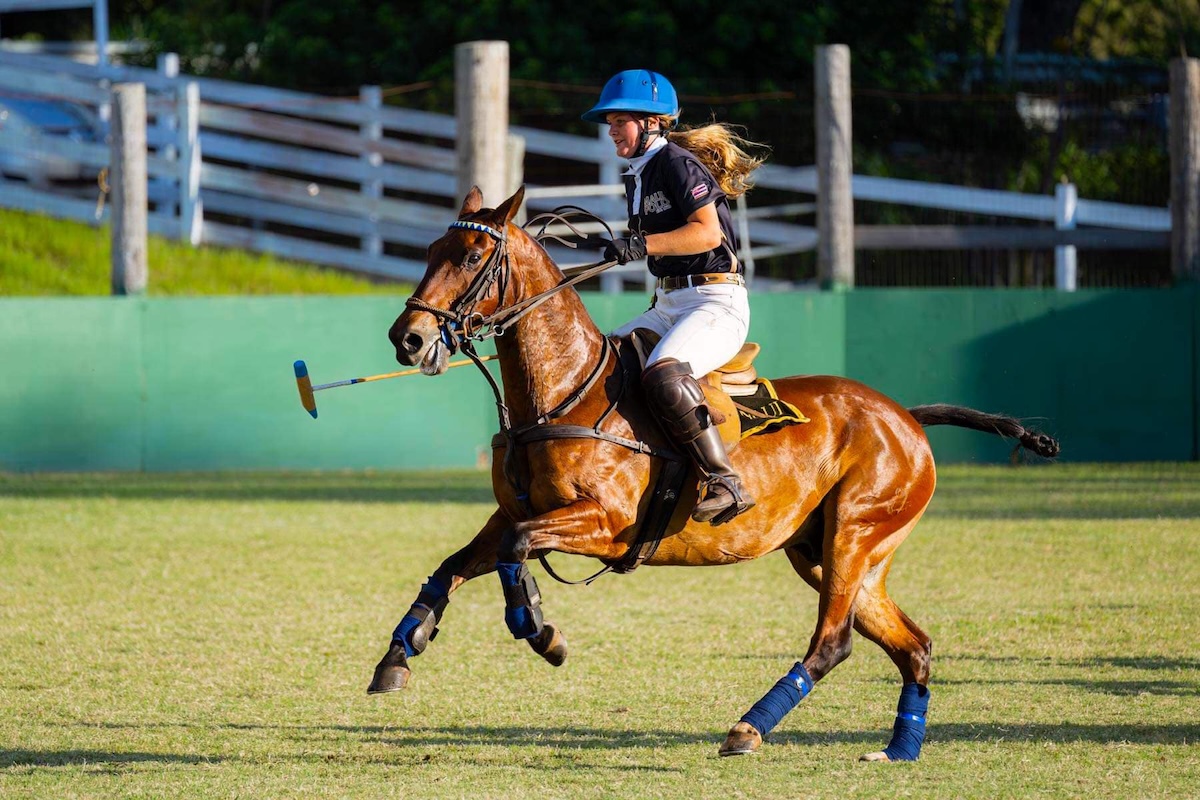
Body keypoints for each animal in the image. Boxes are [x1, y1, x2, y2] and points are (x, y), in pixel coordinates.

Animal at [368, 185, 1060, 762]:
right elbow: (454, 565)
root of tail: (906, 417)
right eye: (431, 251)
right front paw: (398, 655)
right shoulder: (516, 510)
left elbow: (515, 552)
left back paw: (747, 728)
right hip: (828, 552)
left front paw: (540, 629)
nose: (407, 337)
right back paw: (898, 751)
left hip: (855, 534)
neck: (563, 393)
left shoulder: (603, 523)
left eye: (472, 255)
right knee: (912, 645)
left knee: (833, 641)